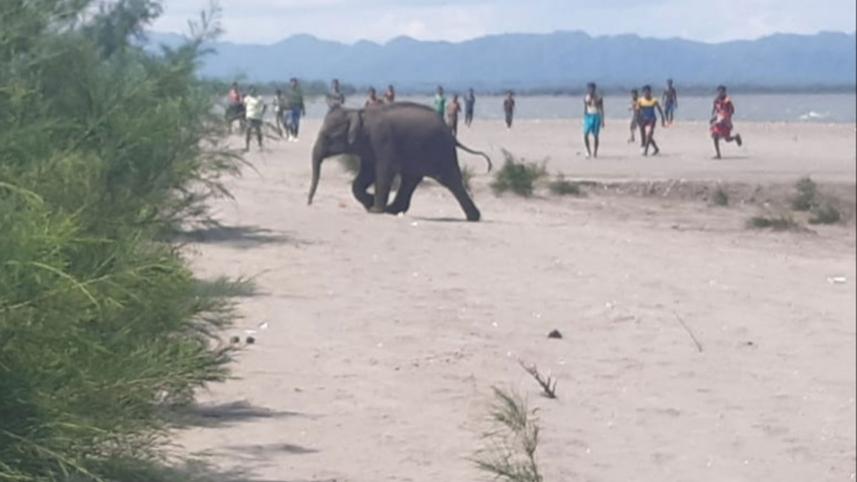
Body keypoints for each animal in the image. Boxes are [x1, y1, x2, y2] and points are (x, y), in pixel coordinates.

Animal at [307, 102, 492, 222]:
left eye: (327, 136)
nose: (309, 203)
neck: (358, 112)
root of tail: (451, 134)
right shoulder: (368, 147)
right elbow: (366, 174)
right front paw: (370, 203)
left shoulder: (382, 139)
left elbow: (384, 171)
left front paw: (375, 209)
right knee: (411, 179)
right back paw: (393, 210)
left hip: (441, 151)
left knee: (450, 180)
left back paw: (473, 218)